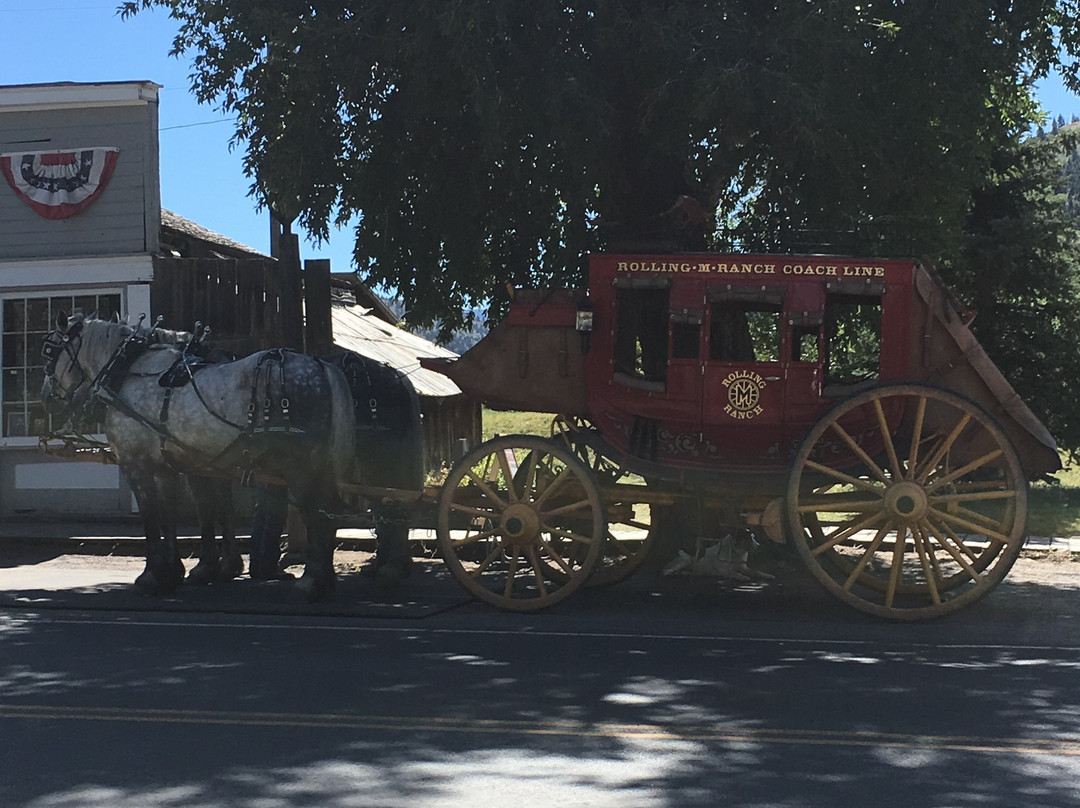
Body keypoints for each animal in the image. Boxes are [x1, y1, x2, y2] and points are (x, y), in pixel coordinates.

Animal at [42, 313, 354, 604]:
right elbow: (170, 517)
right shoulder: (167, 467)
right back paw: (323, 580)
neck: (128, 370)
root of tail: (321, 366)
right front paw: (171, 573)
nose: (46, 396)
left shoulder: (136, 464)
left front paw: (151, 576)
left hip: (300, 466)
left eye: (49, 351)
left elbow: (151, 518)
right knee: (328, 516)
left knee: (317, 515)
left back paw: (310, 583)